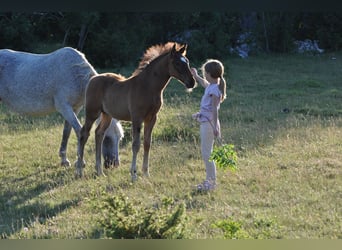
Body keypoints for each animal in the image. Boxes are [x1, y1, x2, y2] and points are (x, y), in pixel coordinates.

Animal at [76, 42, 196, 180]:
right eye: (177, 63)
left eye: (187, 61)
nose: (192, 82)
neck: (148, 87)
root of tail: (93, 79)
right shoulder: (137, 118)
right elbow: (136, 145)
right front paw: (134, 174)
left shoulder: (152, 118)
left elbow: (147, 143)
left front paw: (146, 173)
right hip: (92, 112)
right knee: (84, 134)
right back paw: (79, 171)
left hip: (107, 115)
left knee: (99, 133)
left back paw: (100, 171)